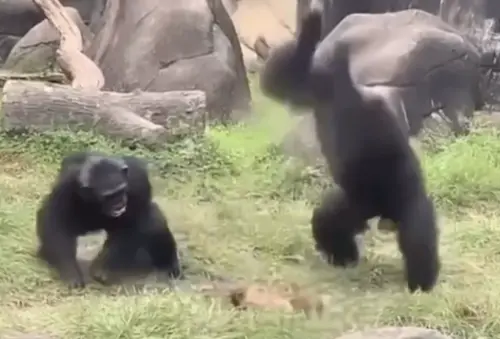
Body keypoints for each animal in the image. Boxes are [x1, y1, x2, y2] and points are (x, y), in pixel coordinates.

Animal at [36, 153, 182, 288]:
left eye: (121, 190)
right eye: (108, 196)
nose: (119, 203)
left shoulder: (138, 181)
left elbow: (132, 223)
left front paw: (101, 269)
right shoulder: (64, 186)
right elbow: (55, 219)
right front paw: (70, 272)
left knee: (154, 222)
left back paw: (169, 265)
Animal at [260, 9, 440, 294]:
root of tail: (383, 213)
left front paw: (311, 30)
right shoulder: (316, 89)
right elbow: (279, 77)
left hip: (397, 199)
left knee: (417, 234)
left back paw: (421, 281)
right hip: (356, 204)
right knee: (330, 220)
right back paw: (343, 256)